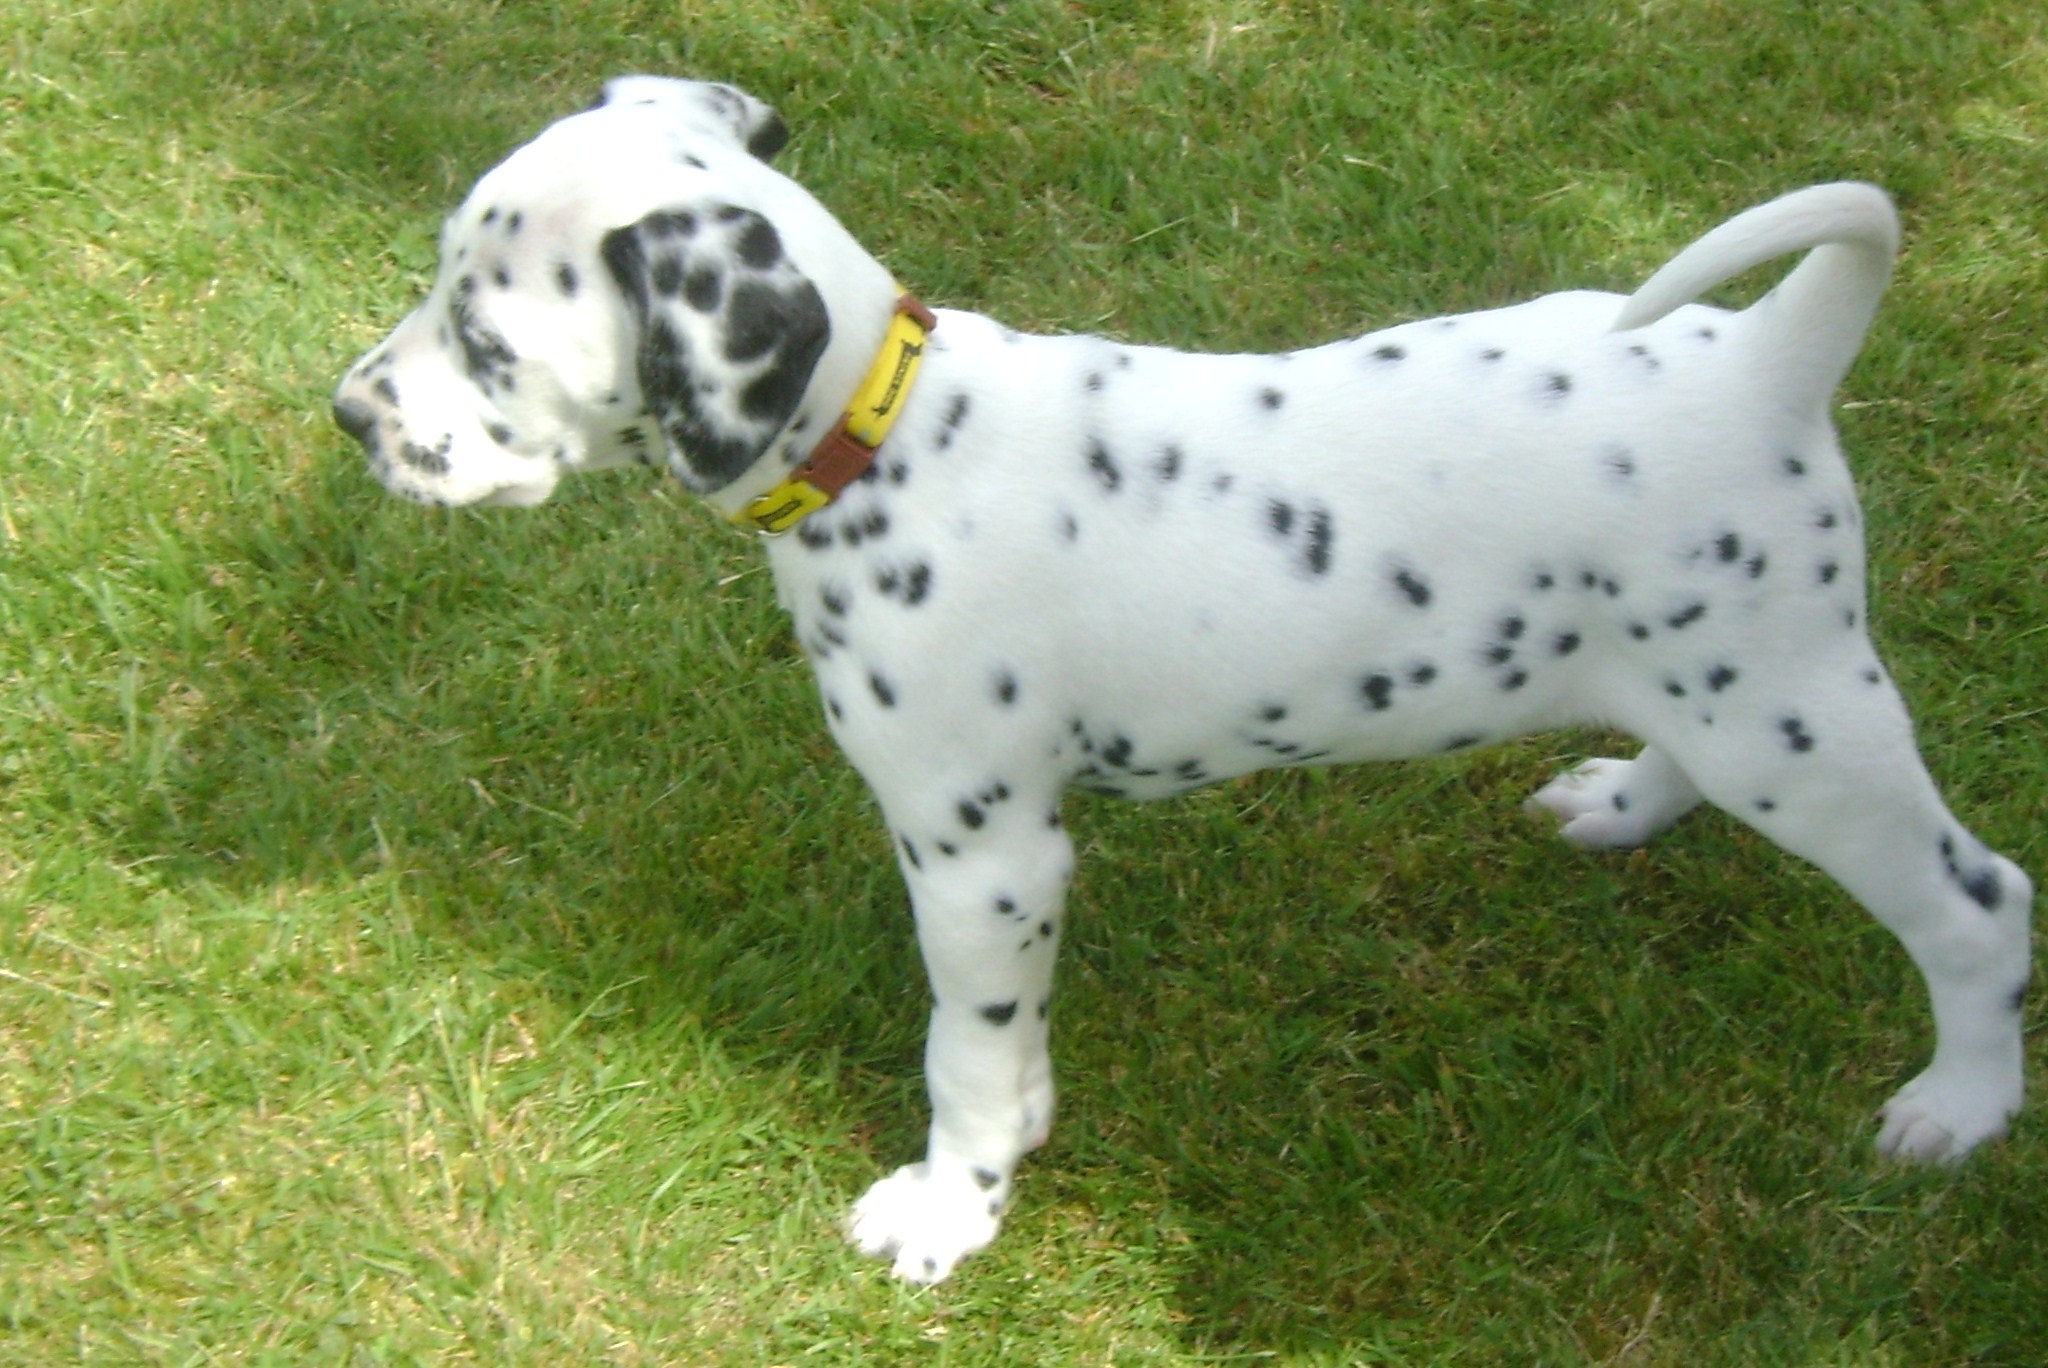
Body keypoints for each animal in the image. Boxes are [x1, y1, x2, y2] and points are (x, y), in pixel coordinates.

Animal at [333, 77, 2030, 1283]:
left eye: (484, 337)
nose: (349, 415)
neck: (893, 433)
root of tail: (1770, 353)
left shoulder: (983, 856)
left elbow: (962, 1045)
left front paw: (951, 1206)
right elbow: (1009, 1041)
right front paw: (1021, 1130)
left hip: (1805, 730)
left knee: (1981, 904)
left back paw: (1962, 1106)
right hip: (1729, 689)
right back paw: (1623, 801)